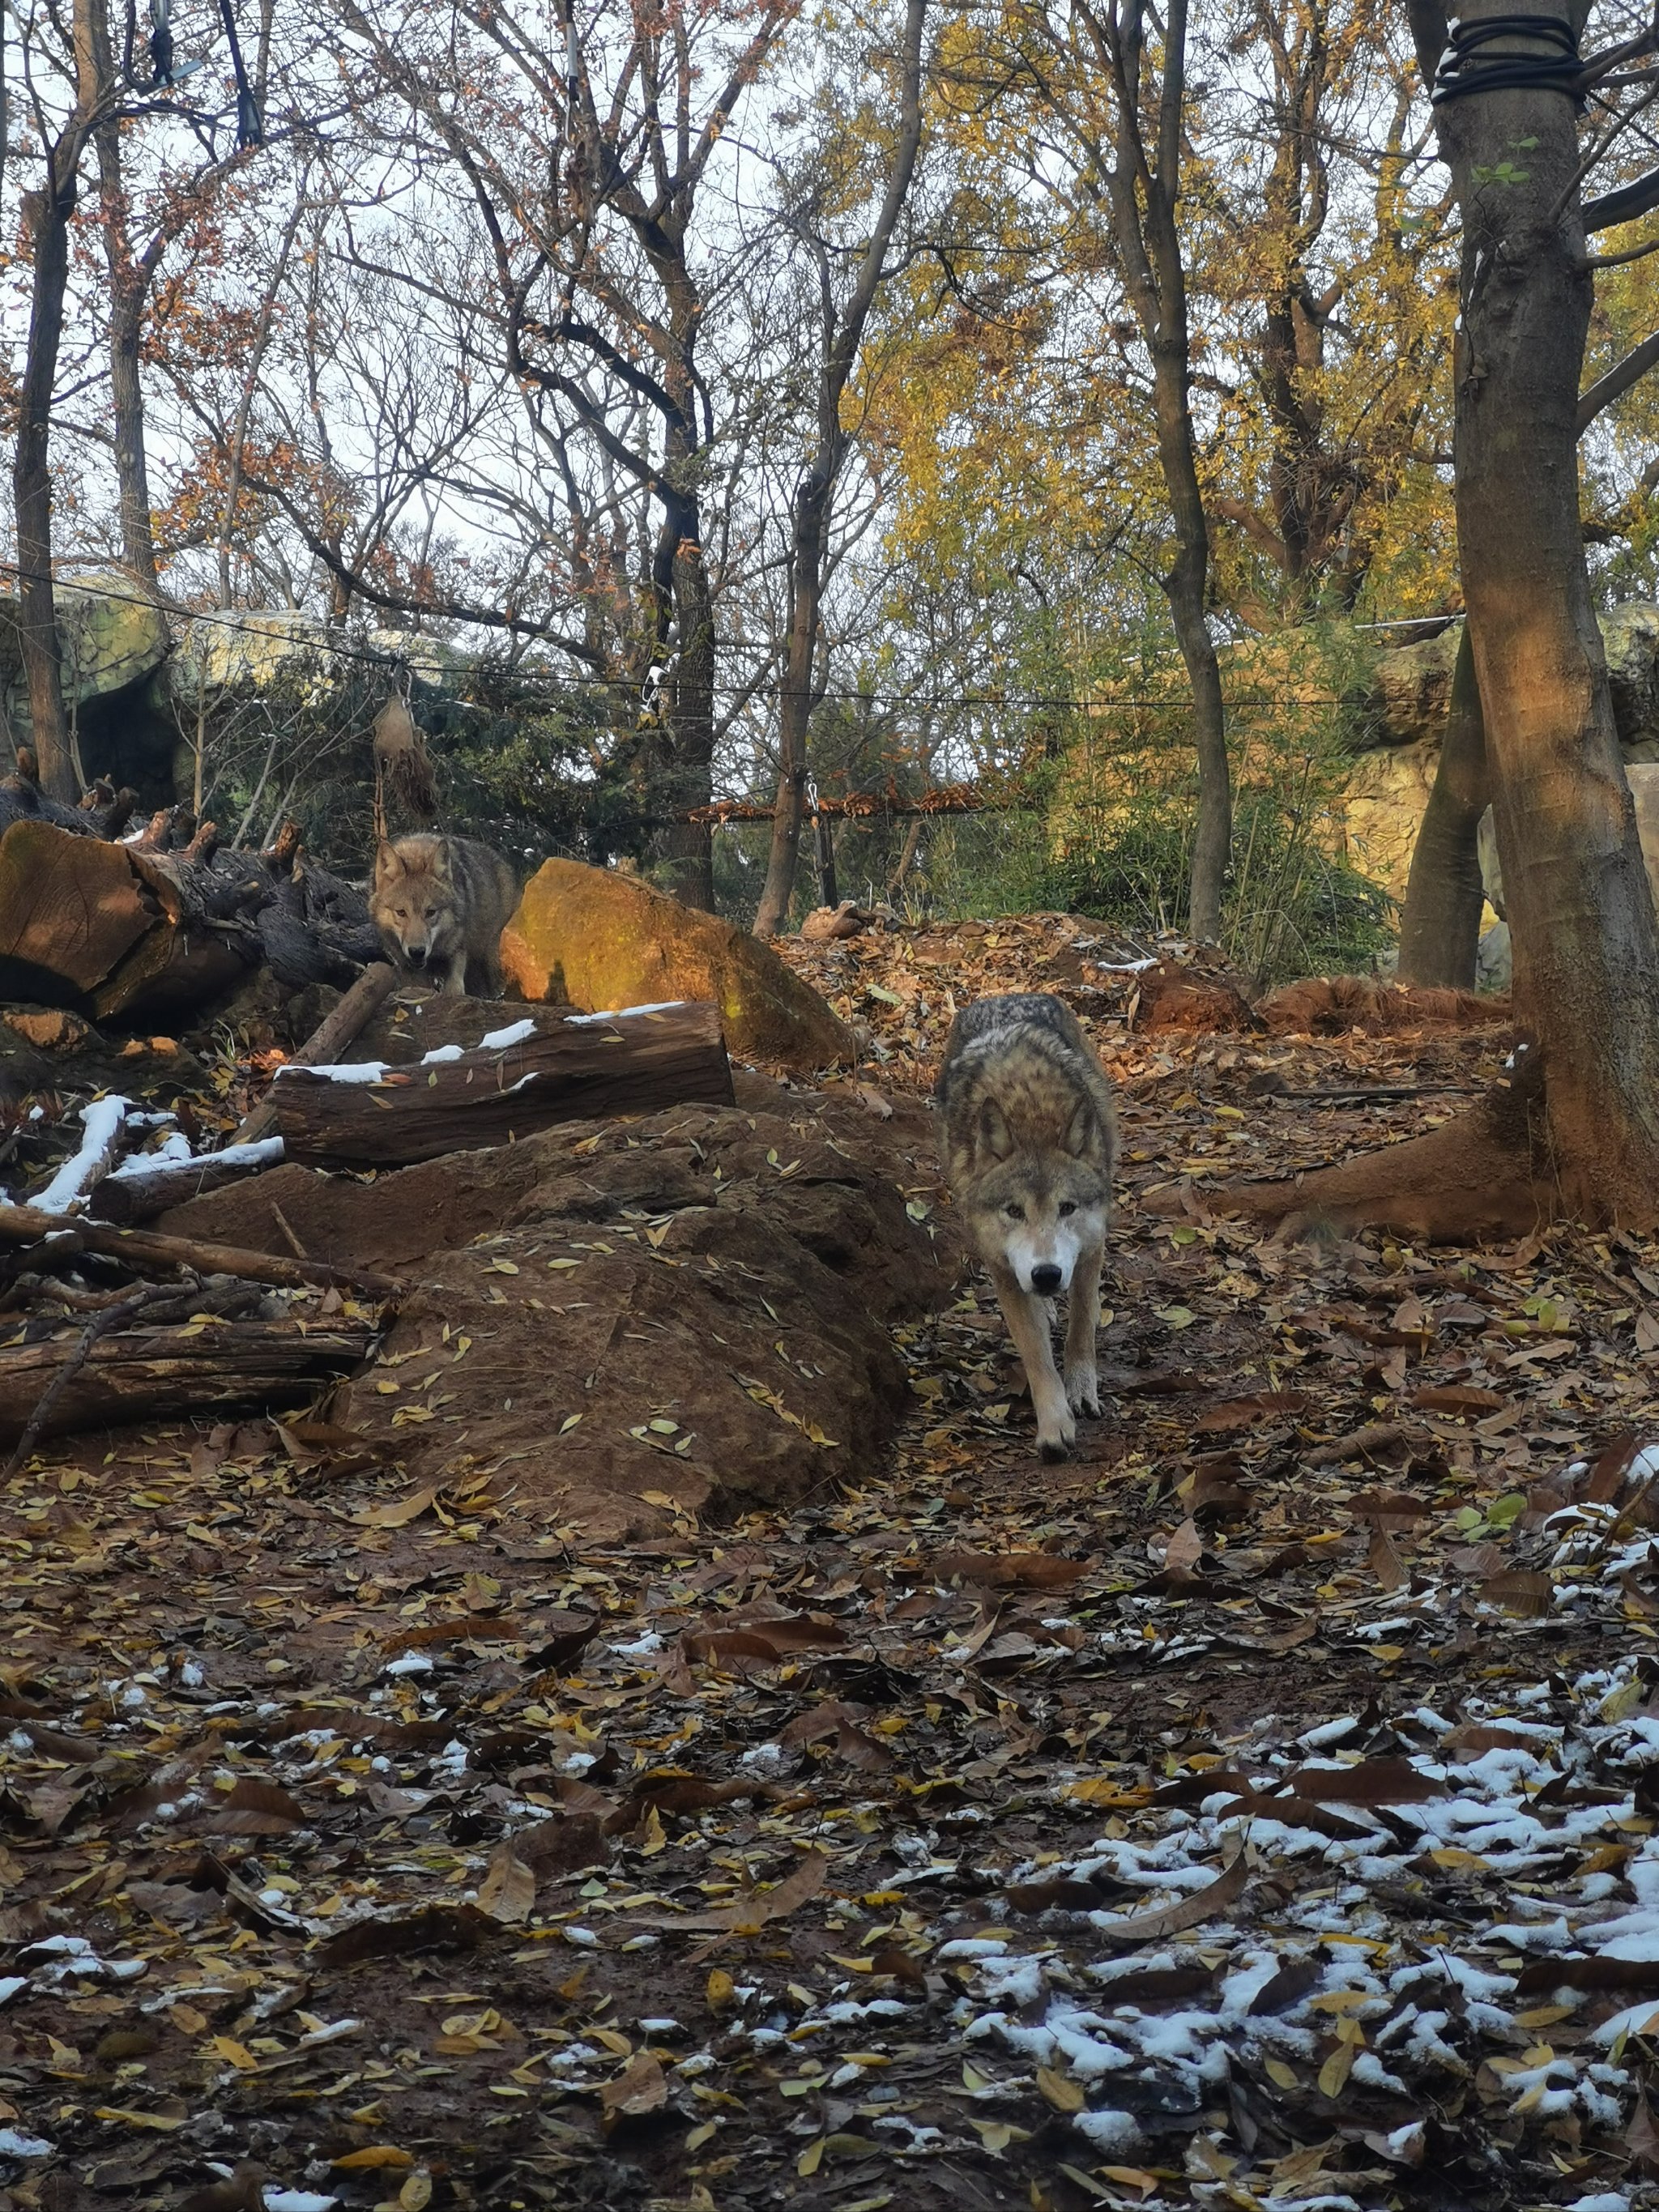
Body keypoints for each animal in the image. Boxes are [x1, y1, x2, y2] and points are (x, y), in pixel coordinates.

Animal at [369, 831, 519, 999]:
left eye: (430, 912)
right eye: (401, 912)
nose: (417, 951)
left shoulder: (457, 955)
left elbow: (454, 991)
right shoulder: (411, 973)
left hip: (493, 961)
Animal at [942, 995, 1124, 1460]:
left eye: (1067, 1207)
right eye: (1013, 1211)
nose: (1046, 1274)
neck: (1031, 1116)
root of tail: (1003, 996)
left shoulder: (1091, 1245)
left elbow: (1081, 1324)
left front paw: (1081, 1390)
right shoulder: (1003, 1269)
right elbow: (1036, 1354)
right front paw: (1055, 1426)